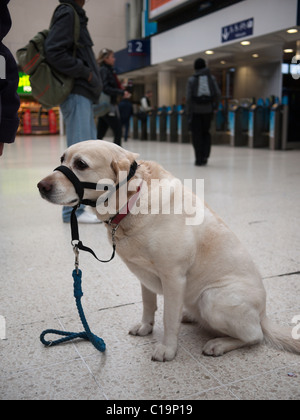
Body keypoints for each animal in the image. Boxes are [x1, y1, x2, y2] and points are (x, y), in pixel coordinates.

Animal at [38, 140, 300, 360]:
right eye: (62, 159)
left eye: (80, 164)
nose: (41, 186)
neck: (133, 201)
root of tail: (263, 315)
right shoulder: (144, 277)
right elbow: (148, 305)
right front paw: (146, 327)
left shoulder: (173, 277)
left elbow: (168, 317)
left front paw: (167, 349)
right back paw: (191, 316)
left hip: (212, 298)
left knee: (254, 336)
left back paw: (220, 343)